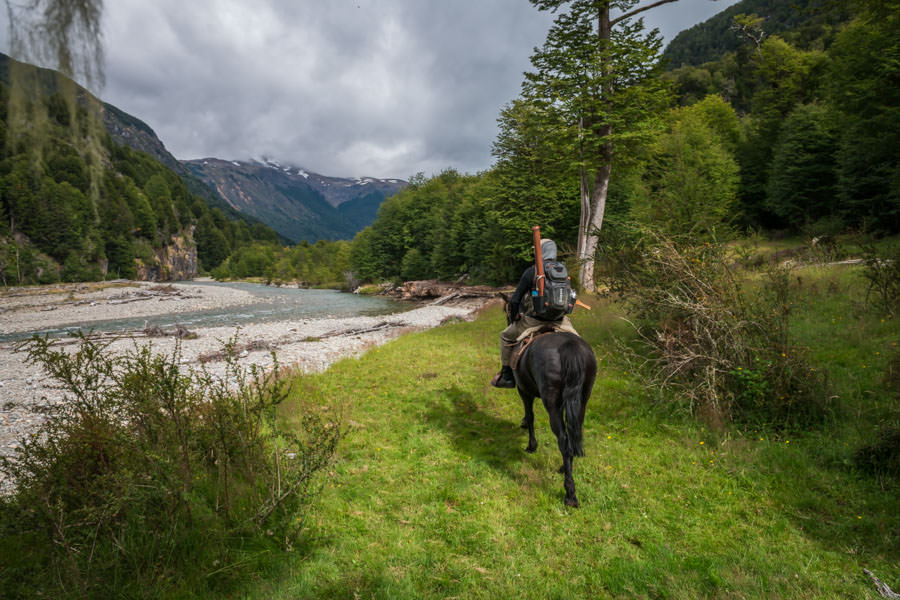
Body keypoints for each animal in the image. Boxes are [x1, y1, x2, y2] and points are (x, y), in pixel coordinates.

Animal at [500, 292, 596, 508]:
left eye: (507, 309)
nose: (510, 319)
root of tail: (569, 347)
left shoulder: (523, 390)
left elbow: (530, 416)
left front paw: (531, 445)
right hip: (582, 399)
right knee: (574, 434)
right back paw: (564, 468)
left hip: (552, 405)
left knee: (564, 442)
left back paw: (570, 494)